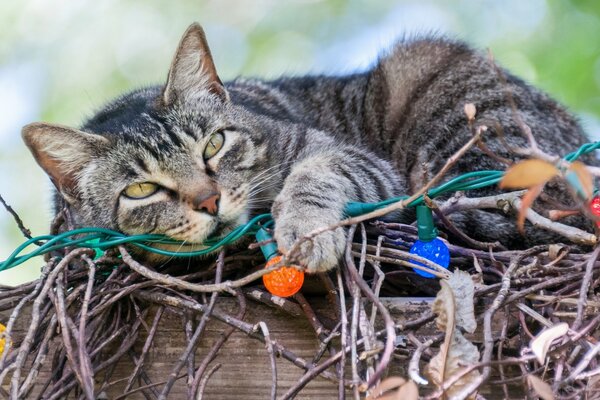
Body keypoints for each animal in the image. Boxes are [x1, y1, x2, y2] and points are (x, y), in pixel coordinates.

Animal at [21, 23, 592, 274]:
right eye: (141, 190)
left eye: (214, 144)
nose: (209, 200)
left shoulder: (354, 160)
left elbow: (314, 175)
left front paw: (302, 229)